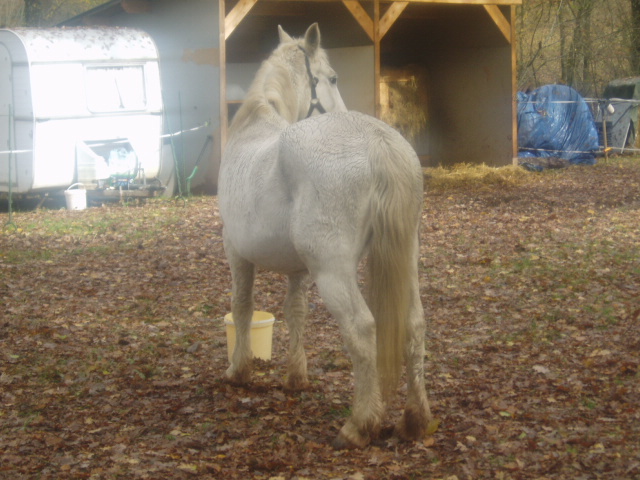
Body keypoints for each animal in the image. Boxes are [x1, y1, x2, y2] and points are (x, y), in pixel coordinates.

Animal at [218, 24, 432, 448]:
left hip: (333, 272)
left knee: (362, 329)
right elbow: (295, 312)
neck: (255, 127)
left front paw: (239, 371)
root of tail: (378, 142)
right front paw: (296, 377)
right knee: (414, 326)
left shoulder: (237, 253)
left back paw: (358, 425)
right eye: (332, 79)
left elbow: (243, 308)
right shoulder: (298, 270)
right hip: (407, 257)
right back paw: (415, 420)